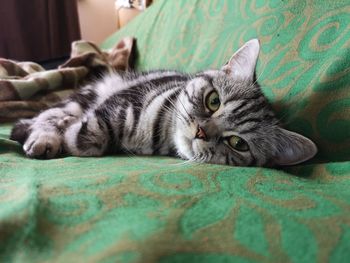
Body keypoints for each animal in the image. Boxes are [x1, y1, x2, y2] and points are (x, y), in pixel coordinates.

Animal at [10, 39, 318, 167]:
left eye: (237, 143)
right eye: (213, 101)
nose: (201, 131)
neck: (156, 134)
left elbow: (85, 138)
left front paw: (73, 134)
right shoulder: (120, 100)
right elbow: (88, 132)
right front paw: (65, 131)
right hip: (88, 94)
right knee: (47, 114)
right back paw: (43, 135)